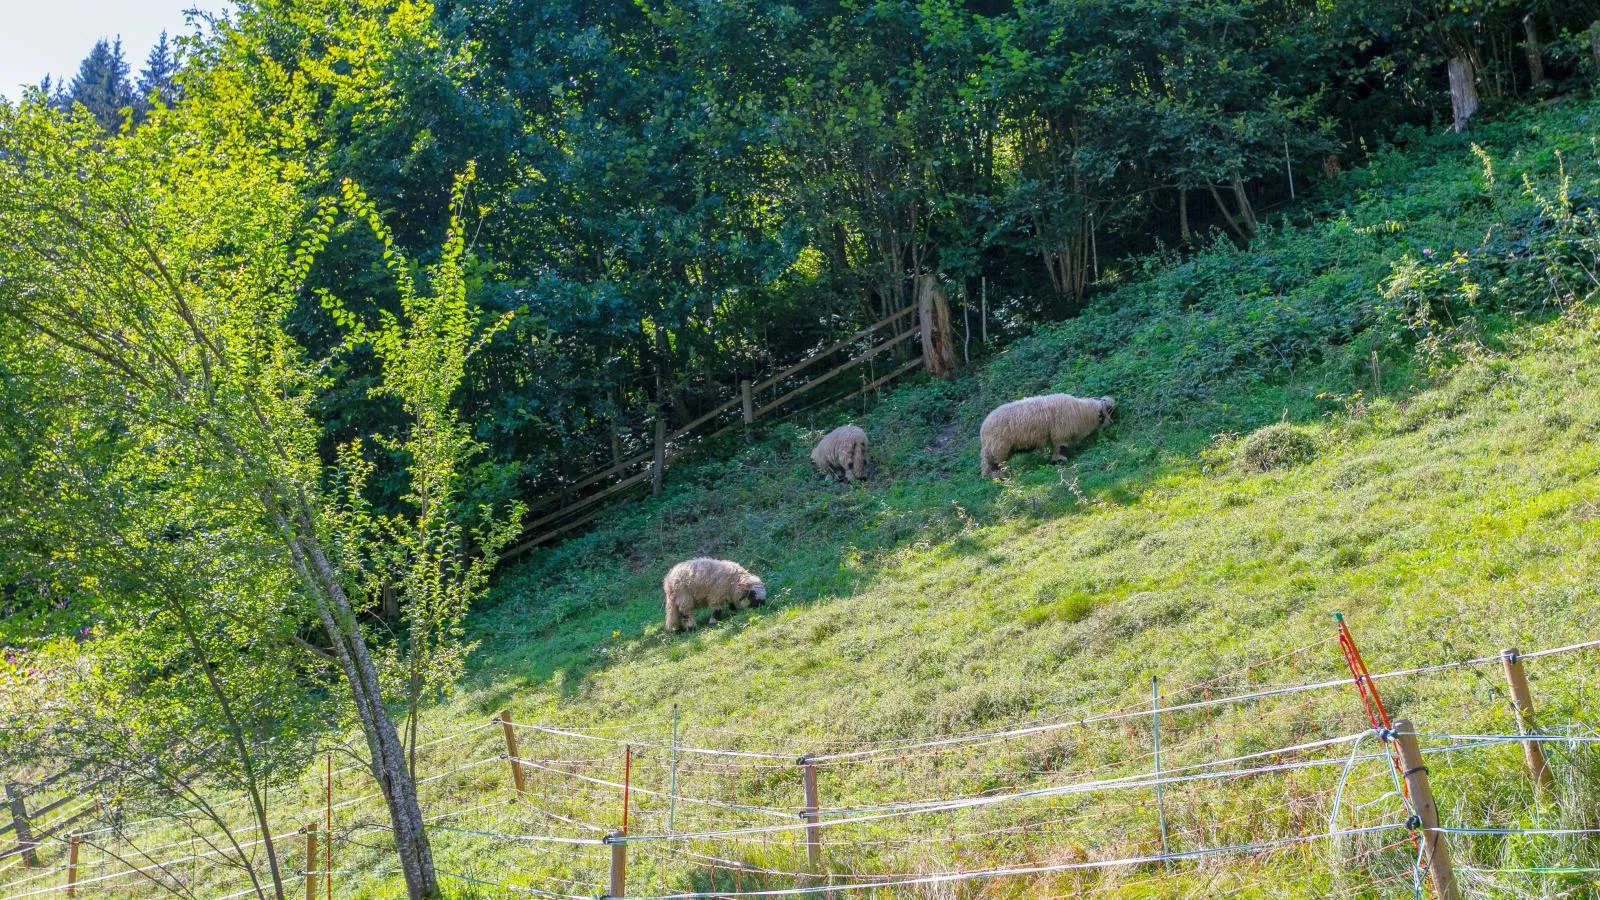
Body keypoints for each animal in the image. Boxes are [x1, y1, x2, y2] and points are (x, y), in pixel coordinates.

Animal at [972, 392, 1113, 477]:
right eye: (1106, 411)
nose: (1111, 423)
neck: (1081, 412)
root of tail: (983, 428)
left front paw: (1054, 460)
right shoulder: (1059, 433)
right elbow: (1061, 448)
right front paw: (1060, 461)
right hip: (997, 446)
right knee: (992, 462)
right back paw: (996, 476)